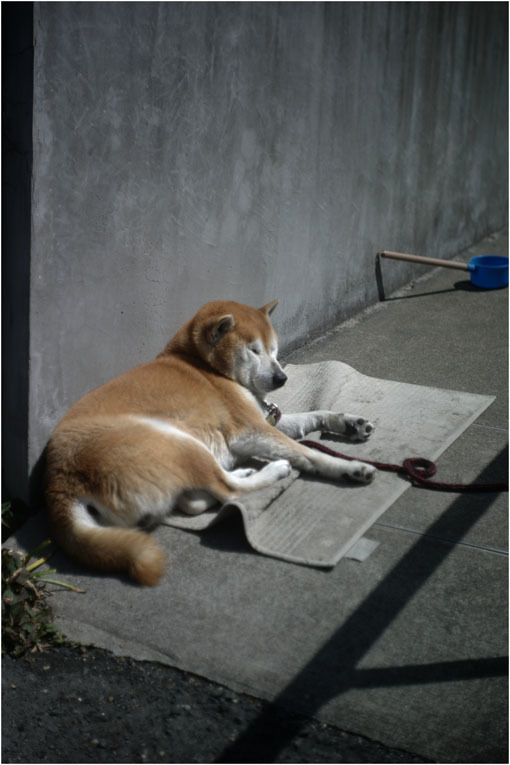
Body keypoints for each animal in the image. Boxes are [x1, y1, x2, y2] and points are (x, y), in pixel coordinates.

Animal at [44, 300, 374, 584]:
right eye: (253, 351)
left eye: (273, 349)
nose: (282, 378)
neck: (203, 365)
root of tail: (61, 484)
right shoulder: (249, 430)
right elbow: (307, 453)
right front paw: (348, 467)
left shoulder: (265, 419)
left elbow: (313, 415)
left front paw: (349, 423)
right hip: (176, 437)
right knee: (227, 491)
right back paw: (271, 471)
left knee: (194, 499)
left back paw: (240, 471)